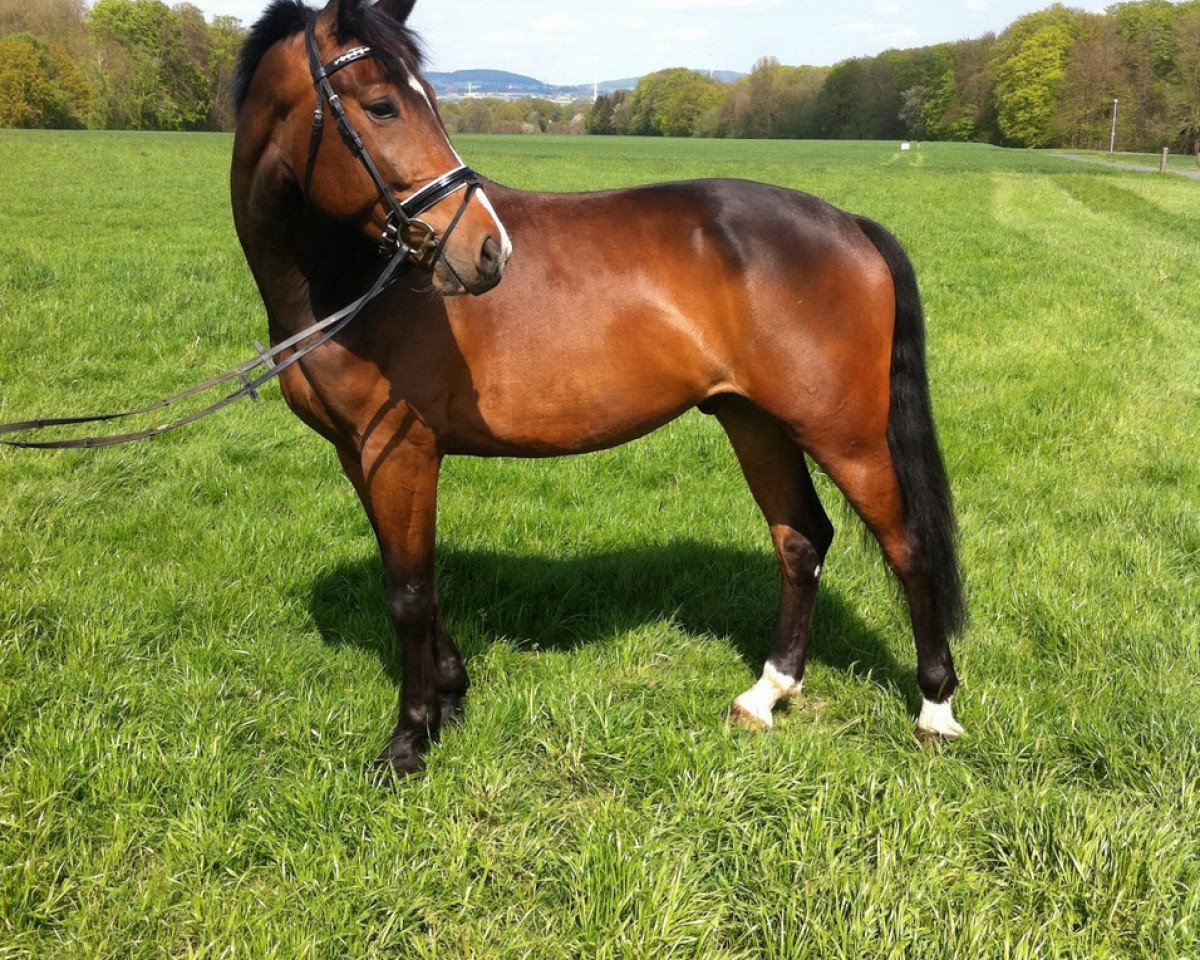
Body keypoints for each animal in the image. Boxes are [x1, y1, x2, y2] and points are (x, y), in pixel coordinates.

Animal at [231, 0, 966, 780]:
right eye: (382, 104)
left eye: (420, 98)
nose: (487, 251)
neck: (350, 278)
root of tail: (848, 224)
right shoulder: (360, 456)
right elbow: (415, 581)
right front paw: (452, 696)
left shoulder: (399, 453)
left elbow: (408, 594)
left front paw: (410, 738)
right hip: (754, 421)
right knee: (800, 539)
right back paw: (767, 694)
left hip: (845, 435)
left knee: (908, 546)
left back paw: (934, 708)